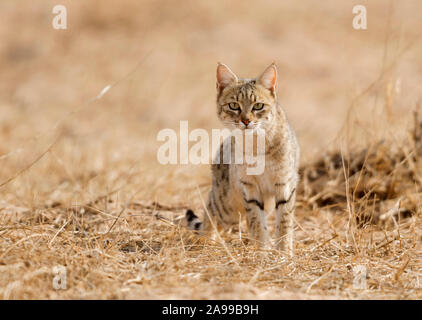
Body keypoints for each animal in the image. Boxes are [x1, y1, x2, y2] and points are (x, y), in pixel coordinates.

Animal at [185, 61, 300, 254]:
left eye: (258, 106)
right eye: (234, 105)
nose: (246, 121)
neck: (256, 144)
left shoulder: (284, 184)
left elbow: (284, 222)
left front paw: (283, 252)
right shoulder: (250, 187)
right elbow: (257, 221)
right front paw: (262, 251)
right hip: (226, 204)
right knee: (210, 211)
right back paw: (207, 242)